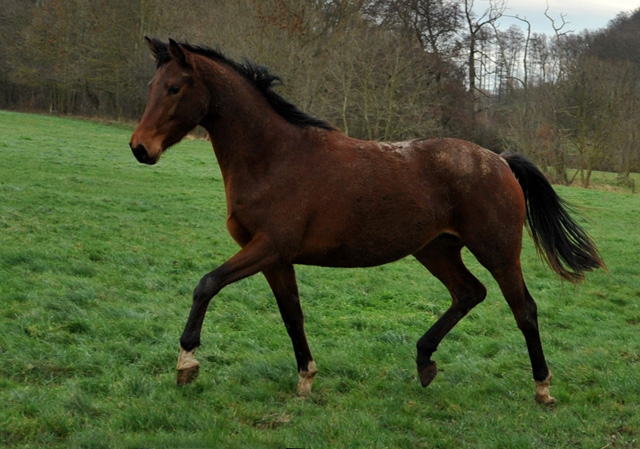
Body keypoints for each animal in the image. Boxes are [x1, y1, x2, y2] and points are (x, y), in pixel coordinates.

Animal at [130, 37, 604, 402]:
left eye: (174, 88)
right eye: (153, 85)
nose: (140, 148)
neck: (272, 157)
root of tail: (500, 160)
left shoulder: (269, 247)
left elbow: (207, 283)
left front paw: (186, 361)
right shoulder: (276, 258)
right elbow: (292, 315)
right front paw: (306, 378)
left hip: (498, 251)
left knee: (524, 309)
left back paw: (542, 388)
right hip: (436, 249)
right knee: (469, 293)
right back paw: (424, 360)